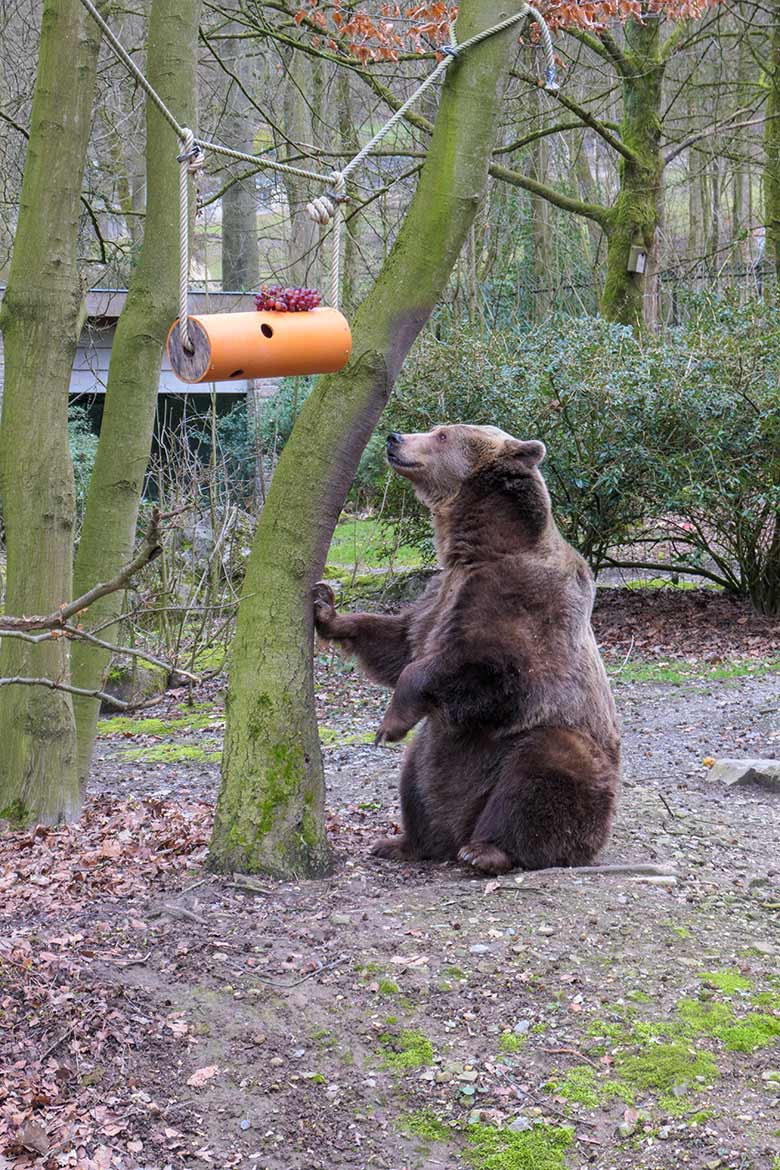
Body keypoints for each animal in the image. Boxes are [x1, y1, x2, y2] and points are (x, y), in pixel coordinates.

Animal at [313, 425, 622, 875]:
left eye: (442, 434)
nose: (394, 437)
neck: (476, 549)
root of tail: (460, 828)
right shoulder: (440, 593)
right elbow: (401, 642)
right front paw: (325, 609)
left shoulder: (522, 602)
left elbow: (482, 669)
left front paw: (389, 724)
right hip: (434, 758)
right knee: (415, 782)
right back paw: (403, 842)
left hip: (552, 748)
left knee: (539, 774)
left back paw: (487, 850)